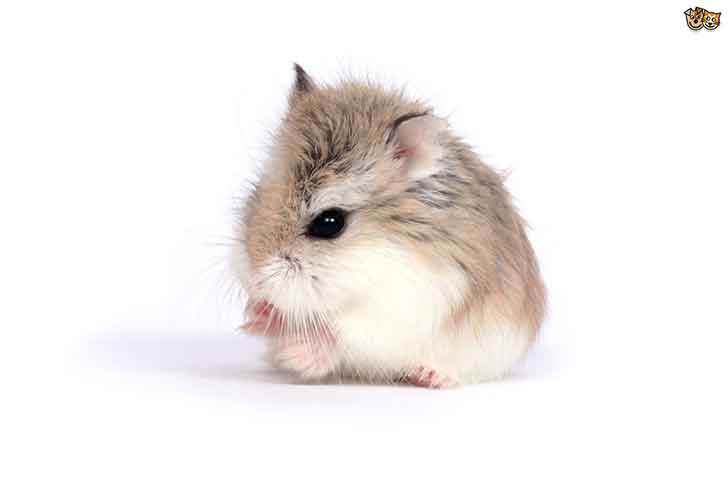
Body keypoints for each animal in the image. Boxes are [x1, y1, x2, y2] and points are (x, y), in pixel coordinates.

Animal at [234, 64, 546, 388]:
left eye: (329, 223)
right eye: (258, 193)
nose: (254, 278)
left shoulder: (405, 306)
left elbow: (342, 335)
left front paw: (295, 346)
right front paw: (258, 314)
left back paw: (428, 376)